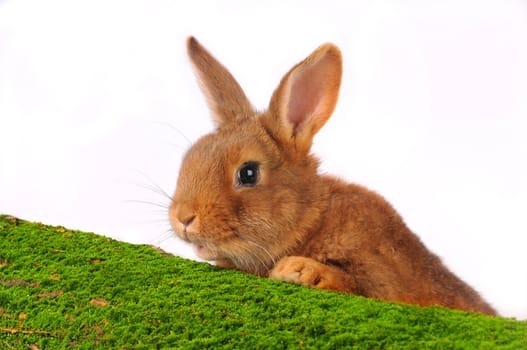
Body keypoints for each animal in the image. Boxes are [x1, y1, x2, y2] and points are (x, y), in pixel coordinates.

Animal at [171, 37, 498, 316]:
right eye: (190, 157)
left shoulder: (382, 271)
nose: (183, 217)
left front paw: (300, 270)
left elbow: (356, 286)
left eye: (248, 173)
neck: (313, 221)